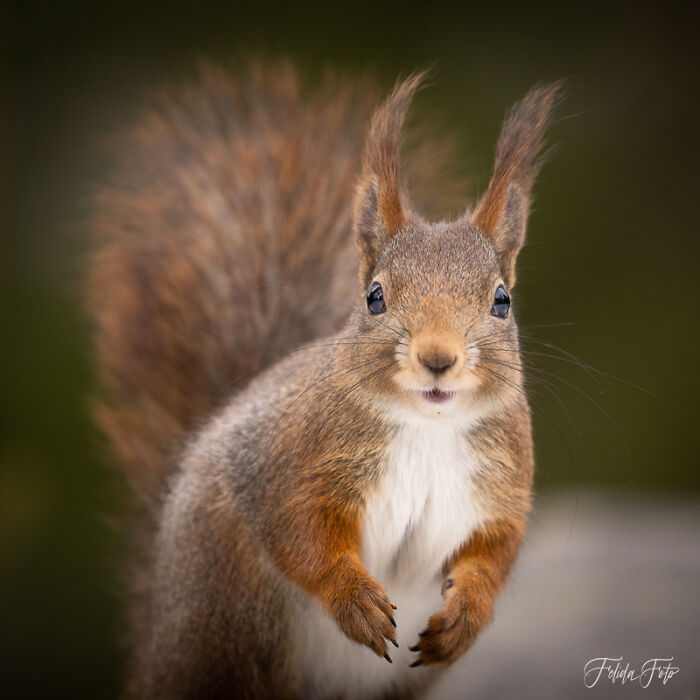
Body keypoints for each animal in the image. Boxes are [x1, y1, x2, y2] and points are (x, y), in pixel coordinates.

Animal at [88, 61, 560, 699]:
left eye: (502, 300)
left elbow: (495, 552)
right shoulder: (292, 464)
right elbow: (300, 534)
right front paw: (354, 601)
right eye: (375, 296)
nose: (438, 358)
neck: (428, 427)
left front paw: (467, 613)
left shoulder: (502, 487)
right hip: (235, 617)